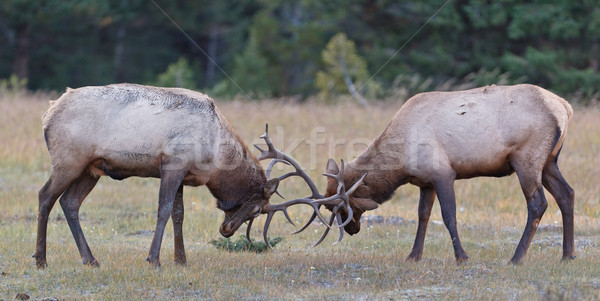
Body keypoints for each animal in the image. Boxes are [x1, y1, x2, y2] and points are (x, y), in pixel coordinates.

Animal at [322, 84, 576, 262]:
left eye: (343, 208)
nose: (352, 230)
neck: (401, 161)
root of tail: (566, 108)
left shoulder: (443, 173)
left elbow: (448, 215)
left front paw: (461, 256)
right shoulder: (425, 182)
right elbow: (423, 215)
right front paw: (414, 255)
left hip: (527, 159)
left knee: (538, 203)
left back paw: (516, 257)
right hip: (549, 161)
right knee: (567, 194)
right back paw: (568, 254)